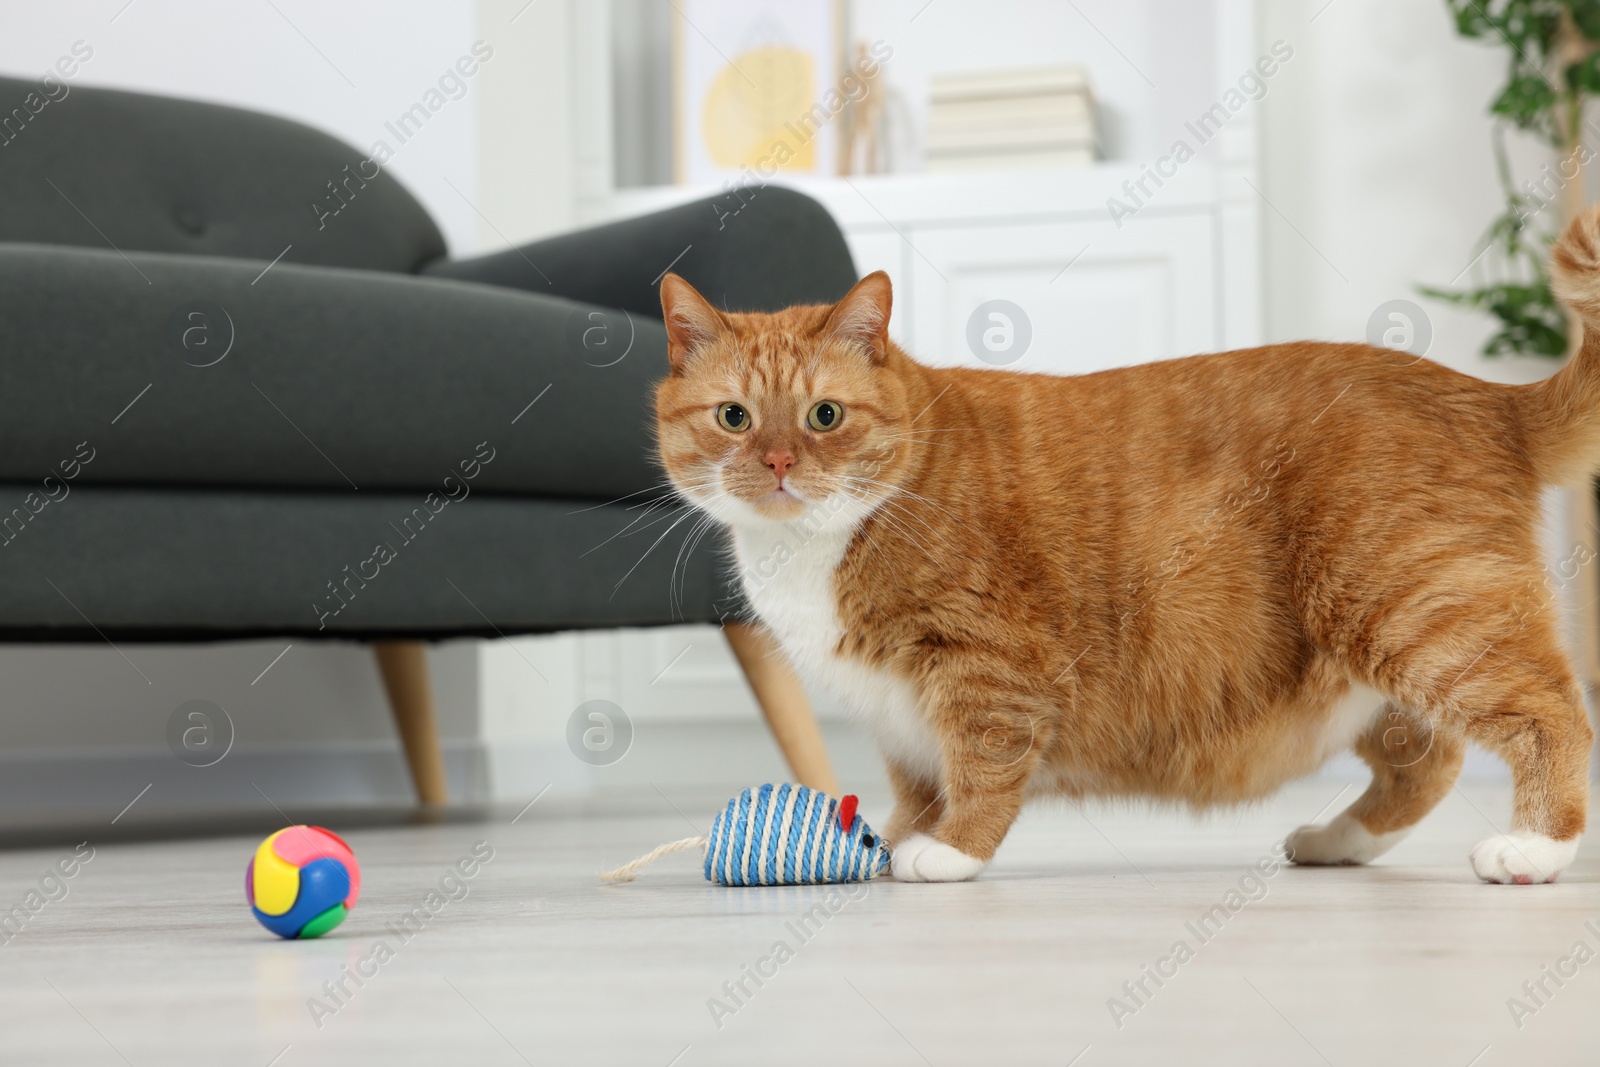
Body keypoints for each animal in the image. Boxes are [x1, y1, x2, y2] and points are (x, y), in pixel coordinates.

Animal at [649, 207, 1600, 883]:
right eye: (734, 417)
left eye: (824, 416)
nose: (777, 461)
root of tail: (1485, 395)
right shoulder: (897, 716)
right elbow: (916, 786)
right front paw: (886, 842)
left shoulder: (986, 665)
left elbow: (982, 764)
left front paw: (950, 849)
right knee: (1426, 761)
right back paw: (1338, 838)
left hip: (1413, 609)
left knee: (1551, 712)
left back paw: (1536, 847)